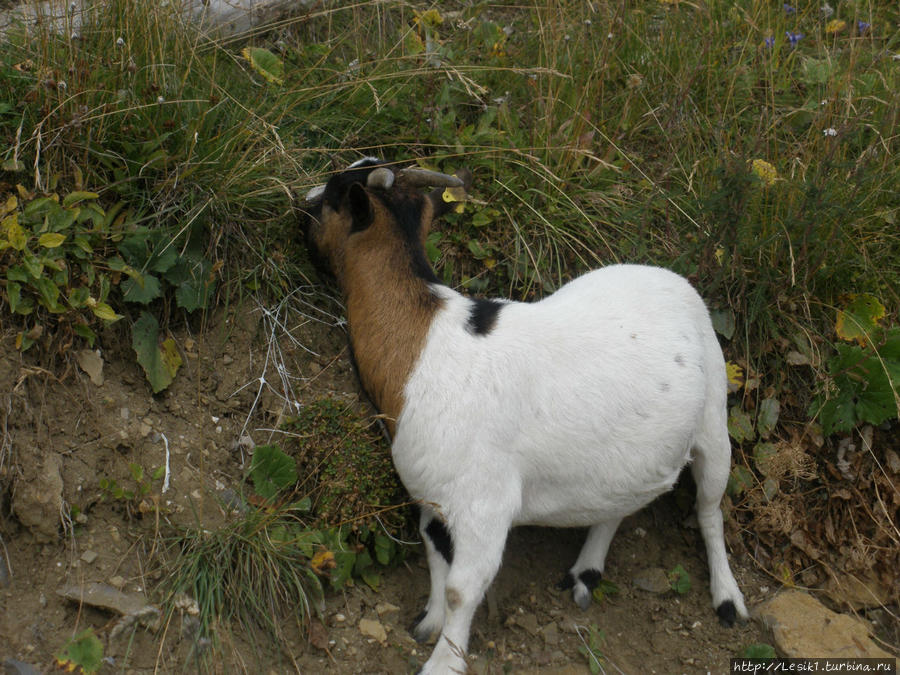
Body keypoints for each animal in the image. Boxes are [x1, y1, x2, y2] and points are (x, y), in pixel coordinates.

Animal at [298, 158, 748, 675]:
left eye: (334, 194)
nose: (297, 210)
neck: (424, 345)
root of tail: (679, 282)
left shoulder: (485, 503)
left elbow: (461, 589)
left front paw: (443, 662)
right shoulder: (433, 496)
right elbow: (435, 555)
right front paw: (429, 621)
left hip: (714, 419)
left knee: (710, 509)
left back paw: (727, 599)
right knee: (622, 502)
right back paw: (585, 571)